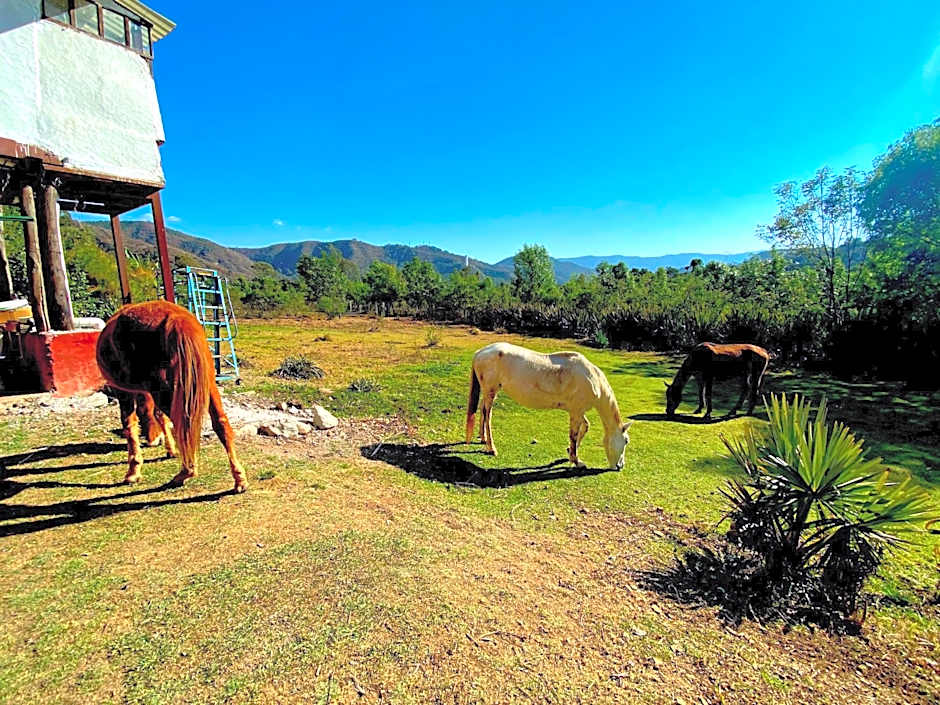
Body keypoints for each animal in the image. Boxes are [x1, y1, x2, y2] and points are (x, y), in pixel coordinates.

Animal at [96, 300, 248, 493]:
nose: (153, 441)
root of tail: (178, 320)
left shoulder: (125, 392)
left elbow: (131, 425)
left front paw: (133, 472)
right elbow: (158, 417)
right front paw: (169, 449)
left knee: (183, 426)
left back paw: (185, 473)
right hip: (205, 384)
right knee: (221, 424)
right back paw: (239, 479)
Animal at [465, 342, 632, 469]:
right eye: (626, 441)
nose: (620, 466)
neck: (592, 378)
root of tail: (480, 353)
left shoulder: (577, 411)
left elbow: (585, 427)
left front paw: (570, 452)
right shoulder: (576, 412)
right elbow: (573, 435)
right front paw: (576, 461)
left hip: (488, 392)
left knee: (483, 410)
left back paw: (482, 438)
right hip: (491, 391)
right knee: (487, 415)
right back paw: (491, 448)